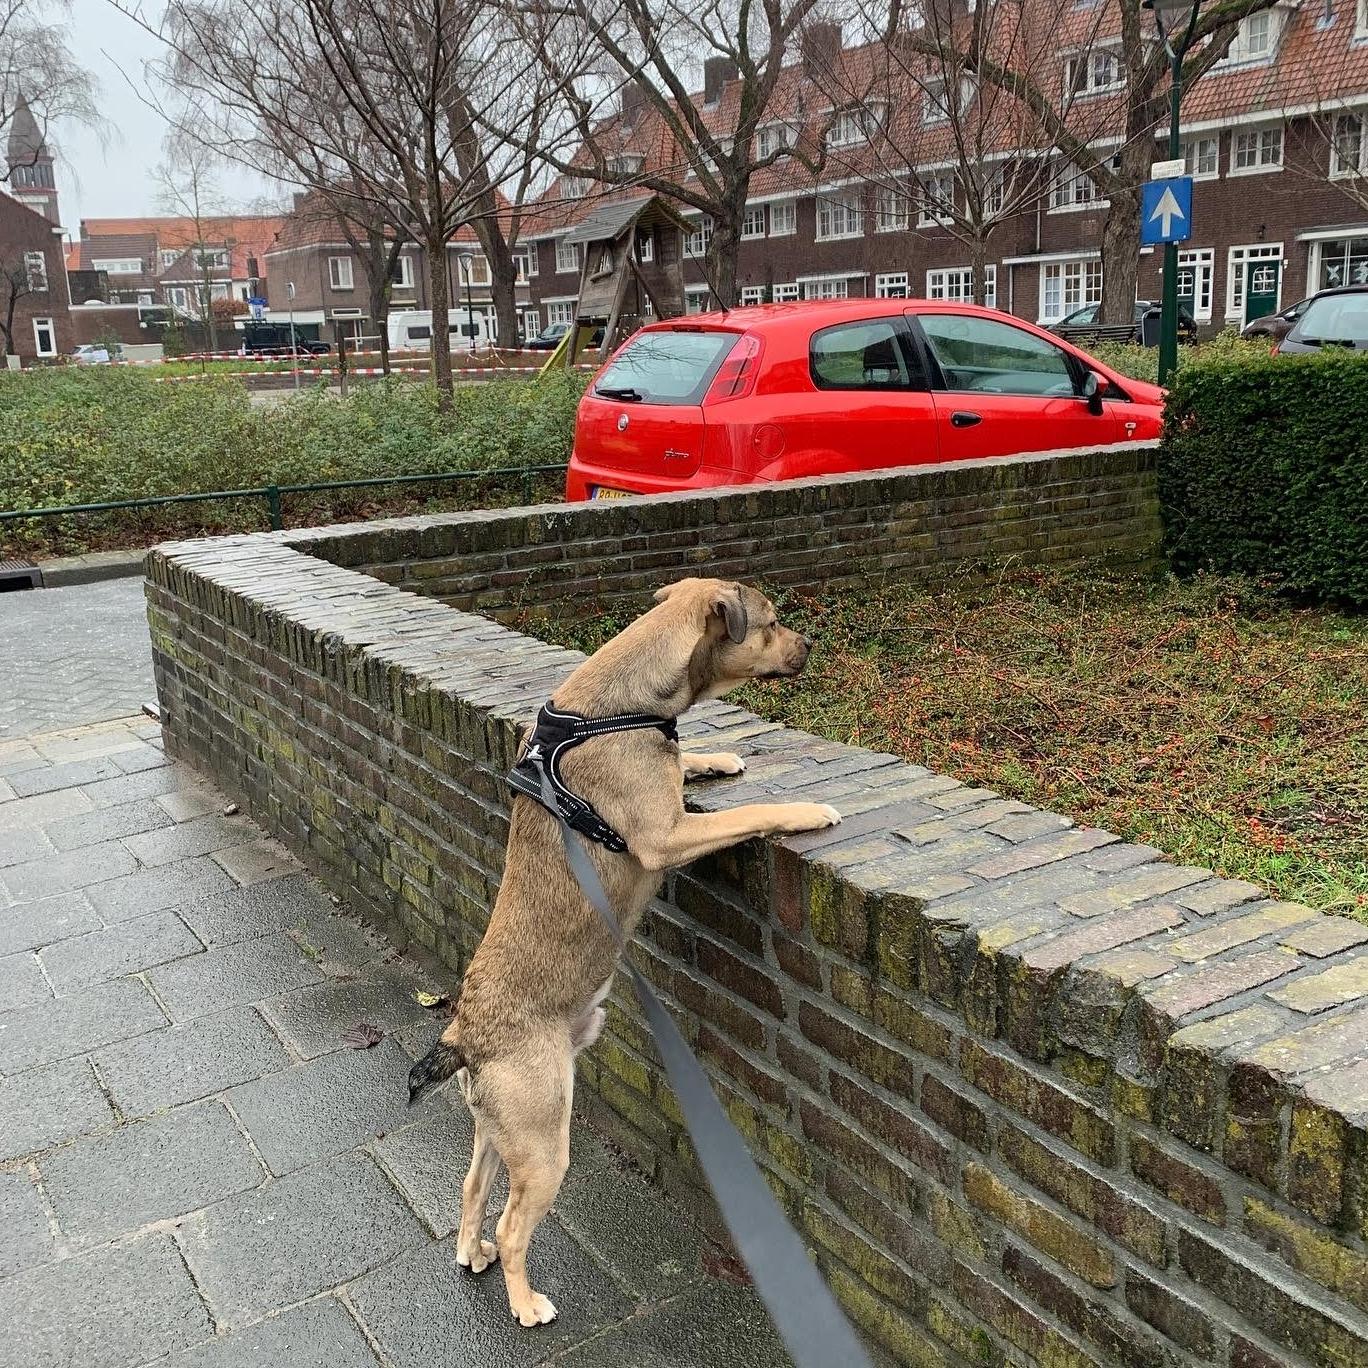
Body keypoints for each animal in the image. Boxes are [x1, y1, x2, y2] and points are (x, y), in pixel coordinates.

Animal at [408, 578, 841, 1327]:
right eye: (772, 624)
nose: (810, 644)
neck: (620, 702)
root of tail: (465, 1035)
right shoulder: (666, 836)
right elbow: (746, 815)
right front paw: (806, 810)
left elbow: (690, 765)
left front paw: (715, 756)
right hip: (545, 1141)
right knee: (512, 1226)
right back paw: (525, 1302)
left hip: (500, 1130)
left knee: (471, 1189)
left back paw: (471, 1253)